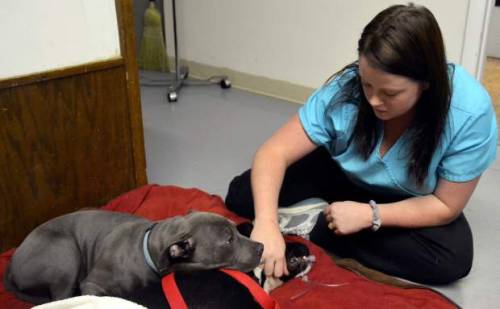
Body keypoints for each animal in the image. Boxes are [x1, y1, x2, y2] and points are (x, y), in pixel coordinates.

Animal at [3, 209, 266, 304]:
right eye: (229, 240)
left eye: (236, 230)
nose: (262, 246)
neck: (147, 251)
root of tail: (12, 266)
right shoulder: (91, 284)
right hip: (64, 251)